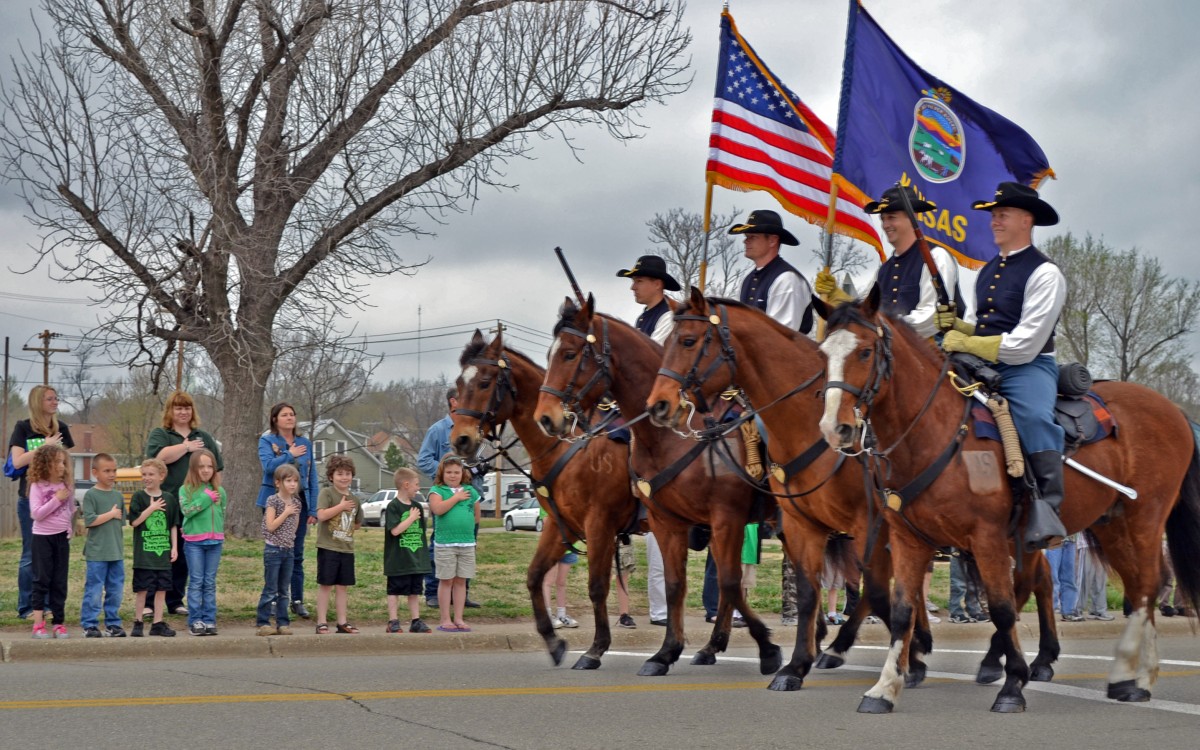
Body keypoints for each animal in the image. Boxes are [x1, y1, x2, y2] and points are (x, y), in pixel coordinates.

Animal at [448, 331, 638, 672]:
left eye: (484, 382)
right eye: (459, 383)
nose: (461, 440)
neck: (569, 445)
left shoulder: (600, 524)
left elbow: (597, 587)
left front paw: (596, 649)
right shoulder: (561, 524)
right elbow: (535, 576)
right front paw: (552, 641)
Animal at [537, 295, 787, 676]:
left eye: (568, 353)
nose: (546, 417)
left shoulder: (724, 518)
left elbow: (729, 584)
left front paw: (769, 648)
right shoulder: (667, 522)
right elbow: (676, 586)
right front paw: (666, 652)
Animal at [648, 286, 1060, 691]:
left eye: (687, 340)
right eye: (666, 341)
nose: (659, 406)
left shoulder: (866, 524)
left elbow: (876, 592)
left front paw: (910, 656)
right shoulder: (796, 523)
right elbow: (807, 590)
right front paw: (795, 662)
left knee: (1028, 580)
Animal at [816, 288, 1200, 715]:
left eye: (865, 352)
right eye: (824, 352)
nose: (835, 428)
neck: (934, 432)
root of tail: (1174, 410)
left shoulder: (986, 538)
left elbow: (1001, 608)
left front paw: (1013, 685)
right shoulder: (908, 539)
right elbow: (903, 610)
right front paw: (884, 688)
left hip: (1145, 517)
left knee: (1147, 584)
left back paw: (1133, 677)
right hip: (1111, 524)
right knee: (1133, 589)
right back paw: (1128, 677)